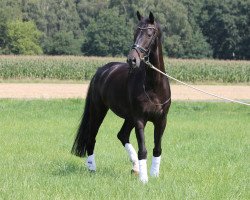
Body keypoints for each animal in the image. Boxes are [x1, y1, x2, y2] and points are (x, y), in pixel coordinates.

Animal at [71, 10, 171, 183]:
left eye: (149, 34)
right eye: (135, 33)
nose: (132, 59)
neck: (153, 85)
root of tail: (102, 71)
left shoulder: (161, 120)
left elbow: (157, 148)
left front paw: (154, 175)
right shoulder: (140, 119)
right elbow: (143, 149)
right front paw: (144, 180)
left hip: (128, 117)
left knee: (122, 135)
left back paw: (135, 168)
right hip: (99, 111)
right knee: (92, 138)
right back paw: (92, 168)